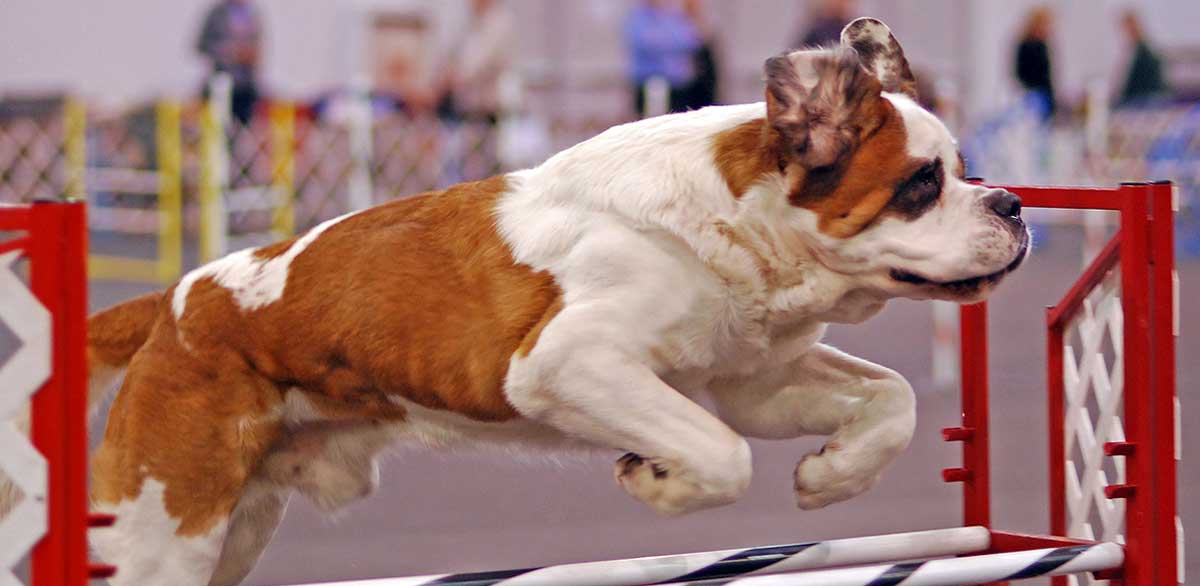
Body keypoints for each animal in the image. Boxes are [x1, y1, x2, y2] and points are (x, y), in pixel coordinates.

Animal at [0, 18, 1032, 586]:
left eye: (963, 169)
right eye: (920, 186)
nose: (1012, 205)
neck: (741, 220)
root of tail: (175, 303)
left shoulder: (748, 378)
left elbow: (892, 398)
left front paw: (831, 477)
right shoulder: (571, 363)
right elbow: (721, 452)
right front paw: (659, 481)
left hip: (230, 529)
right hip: (164, 527)